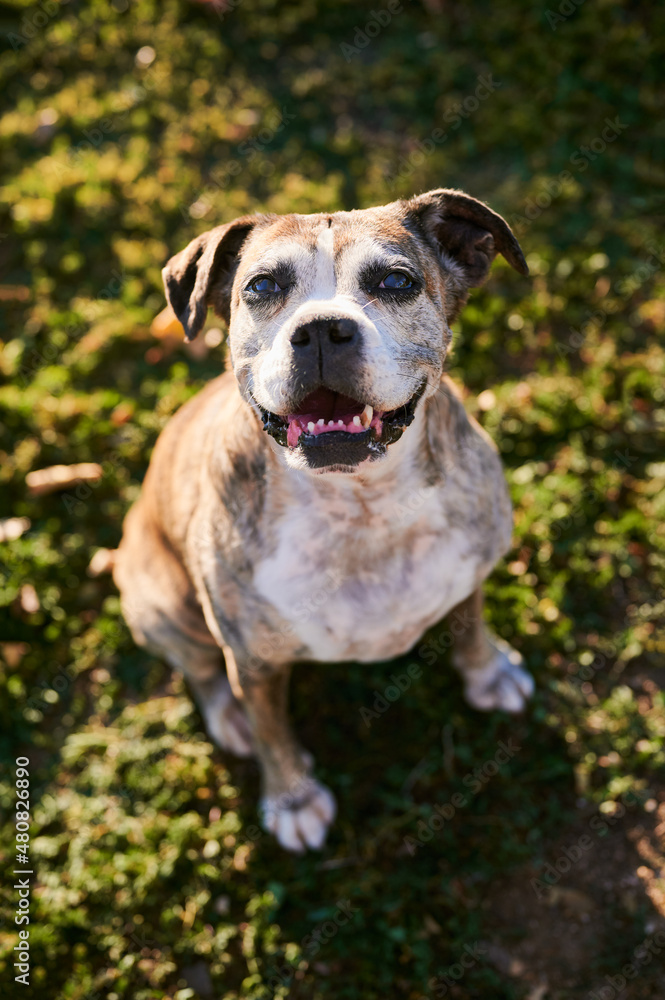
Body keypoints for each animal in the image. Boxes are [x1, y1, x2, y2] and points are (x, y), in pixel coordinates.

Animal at [111, 188, 532, 852]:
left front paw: (488, 673)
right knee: (201, 668)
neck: (359, 504)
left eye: (396, 281)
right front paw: (292, 799)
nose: (320, 331)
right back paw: (229, 717)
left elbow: (468, 623)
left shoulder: (471, 569)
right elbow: (272, 730)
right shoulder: (254, 661)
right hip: (159, 602)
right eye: (261, 286)